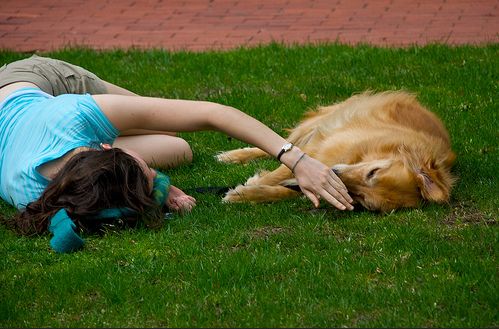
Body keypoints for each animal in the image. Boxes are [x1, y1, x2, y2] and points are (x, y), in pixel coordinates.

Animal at [216, 91, 458, 211]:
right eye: (373, 172)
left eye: (361, 199)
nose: (334, 172)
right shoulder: (318, 150)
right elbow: (281, 171)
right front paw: (248, 187)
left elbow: (286, 189)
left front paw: (248, 193)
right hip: (322, 122)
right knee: (285, 143)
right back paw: (233, 156)